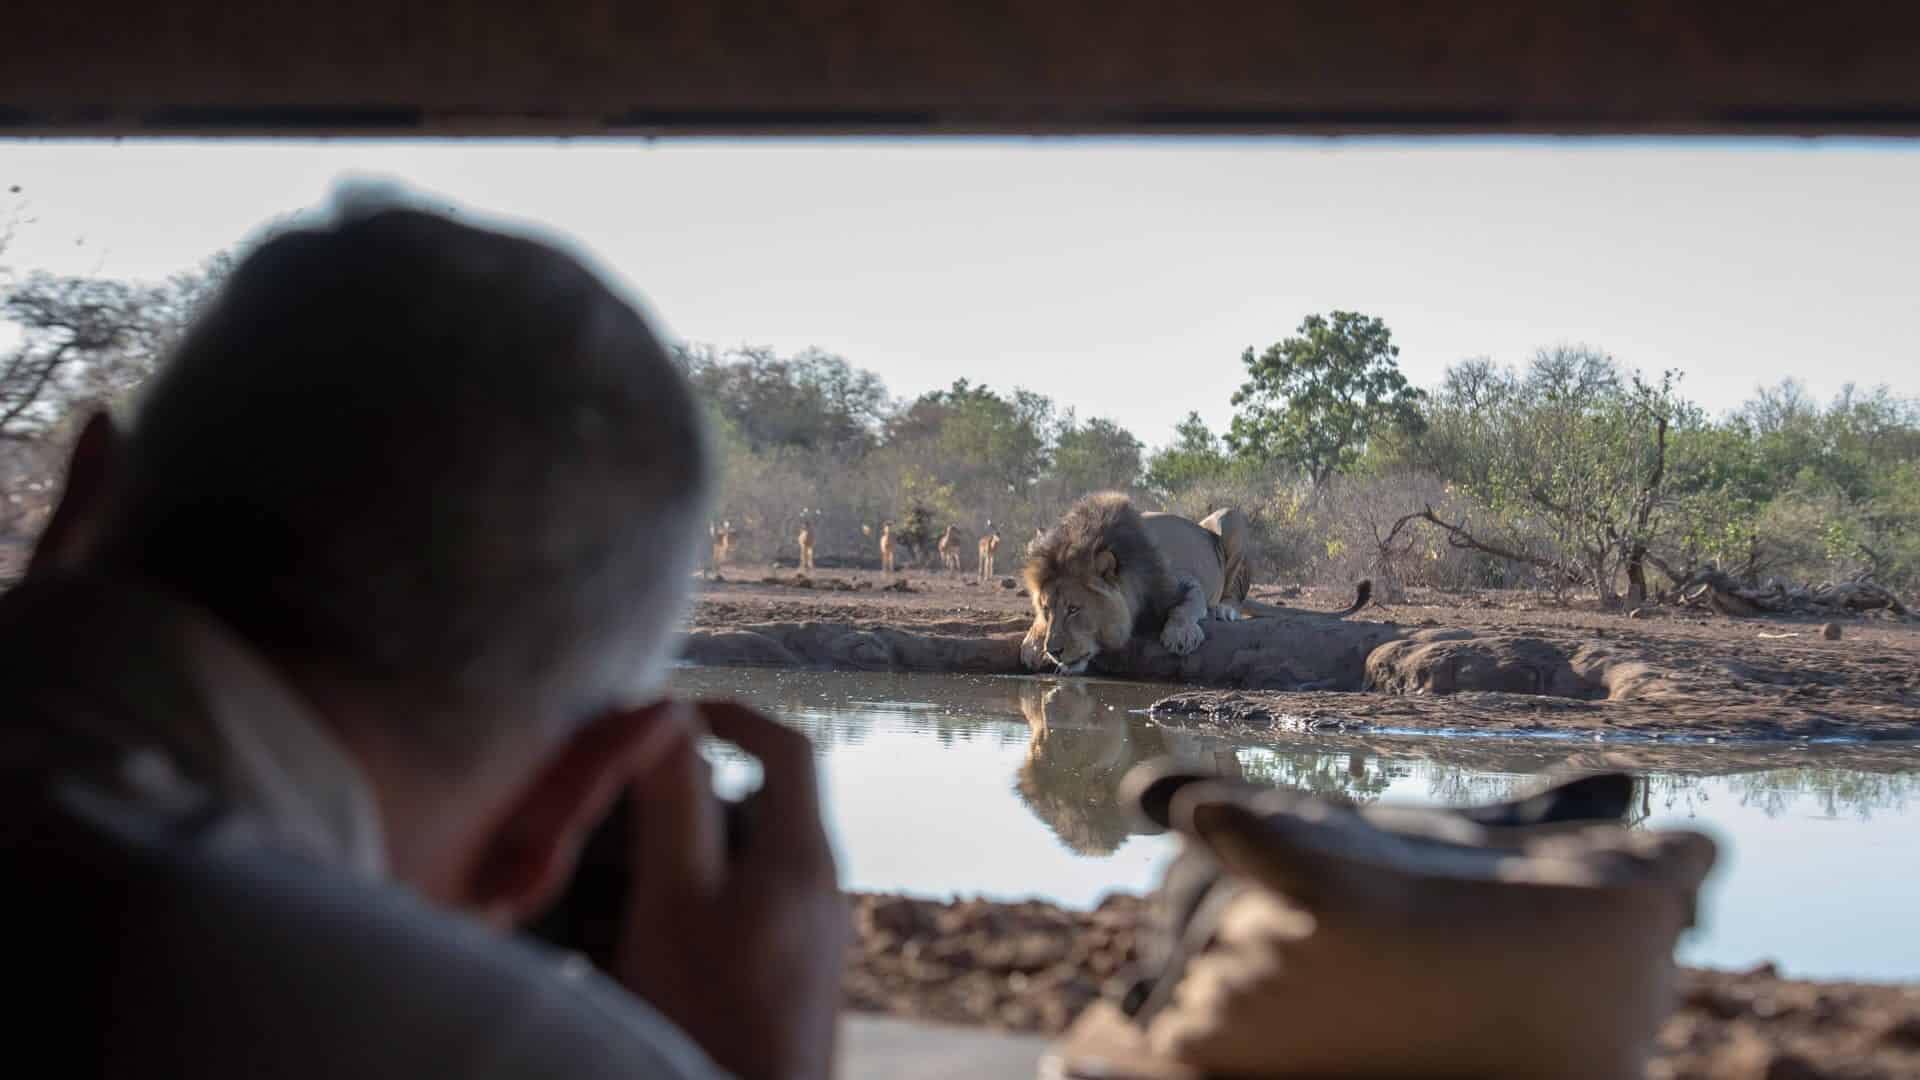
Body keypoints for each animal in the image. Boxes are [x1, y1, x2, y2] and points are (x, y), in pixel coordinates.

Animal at [1020, 492, 1370, 675]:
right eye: (1046, 609)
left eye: (1075, 609)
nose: (1054, 650)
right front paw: (1032, 643)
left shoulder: (1184, 583)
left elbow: (1186, 607)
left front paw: (1181, 635)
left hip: (1230, 519)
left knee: (1232, 593)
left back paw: (1224, 610)